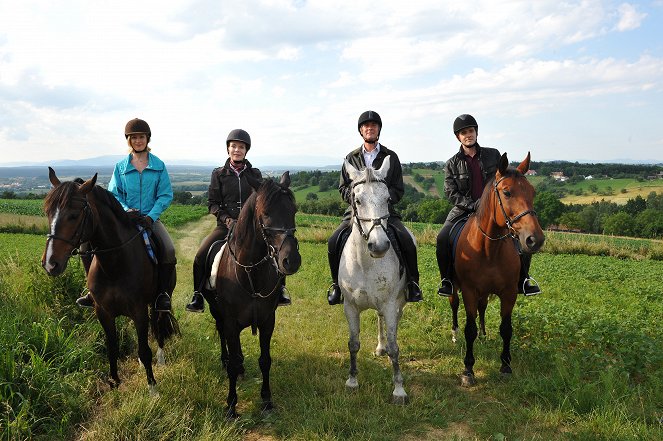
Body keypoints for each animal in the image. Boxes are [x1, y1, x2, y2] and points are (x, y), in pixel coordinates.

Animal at [201, 171, 302, 416]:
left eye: (293, 210)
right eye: (265, 214)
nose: (291, 261)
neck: (250, 272)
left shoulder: (267, 320)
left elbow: (265, 360)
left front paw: (266, 400)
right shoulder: (230, 322)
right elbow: (234, 360)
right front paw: (231, 405)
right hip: (217, 313)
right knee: (224, 339)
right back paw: (225, 361)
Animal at [340, 156, 412, 404]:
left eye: (388, 199)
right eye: (357, 200)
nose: (379, 246)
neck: (365, 263)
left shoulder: (390, 304)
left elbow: (394, 347)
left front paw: (399, 389)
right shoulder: (350, 307)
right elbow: (353, 344)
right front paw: (352, 381)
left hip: (398, 302)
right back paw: (379, 348)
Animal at [440, 154, 544, 384]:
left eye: (532, 192)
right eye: (507, 192)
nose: (535, 240)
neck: (489, 249)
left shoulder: (509, 293)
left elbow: (506, 329)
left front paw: (505, 364)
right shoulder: (469, 291)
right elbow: (469, 329)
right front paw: (468, 369)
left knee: (483, 308)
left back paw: (484, 334)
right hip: (454, 288)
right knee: (454, 305)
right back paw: (454, 334)